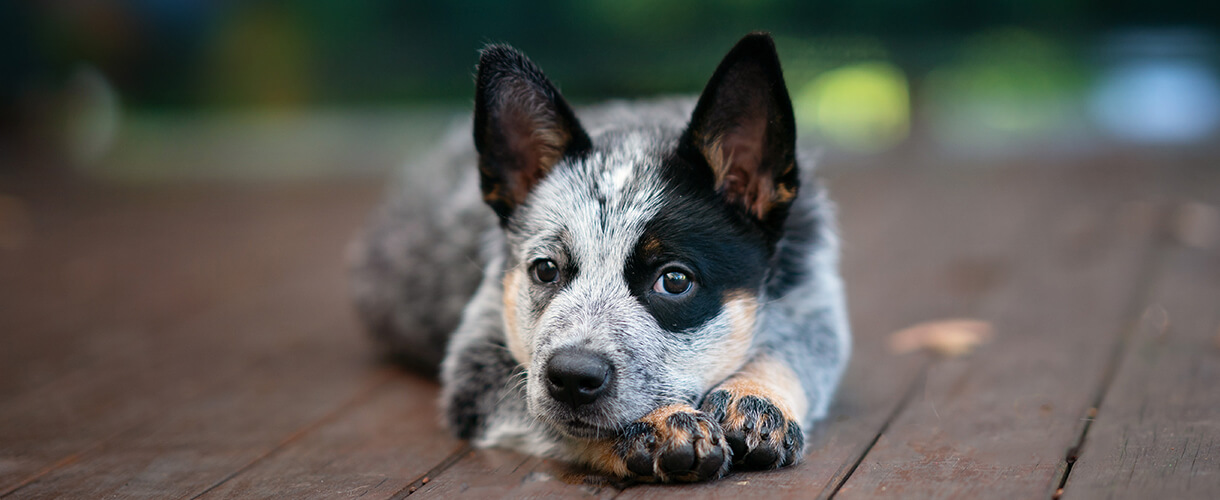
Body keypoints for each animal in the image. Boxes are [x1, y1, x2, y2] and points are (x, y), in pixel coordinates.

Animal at [348, 32, 854, 485]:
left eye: (675, 280)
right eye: (545, 269)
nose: (573, 377)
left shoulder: (813, 292)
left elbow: (796, 351)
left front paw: (754, 401)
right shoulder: (477, 356)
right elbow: (548, 415)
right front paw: (655, 427)